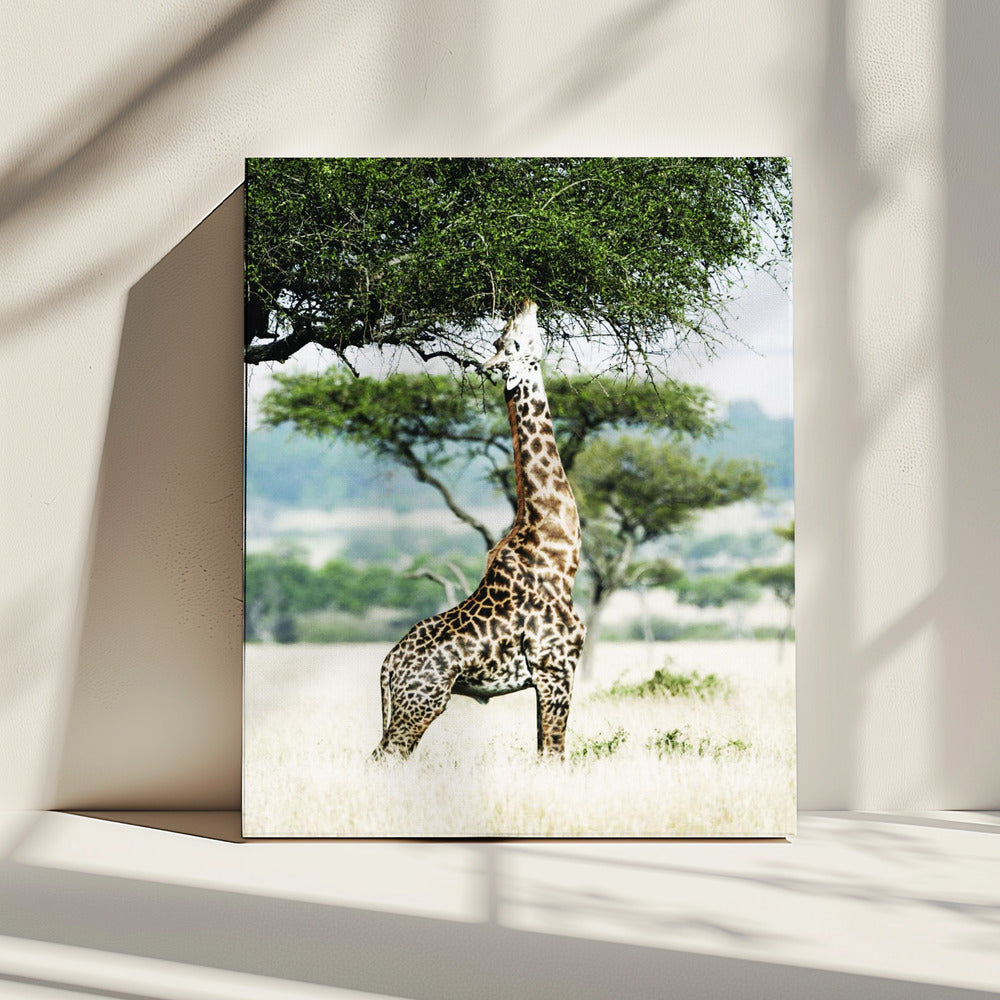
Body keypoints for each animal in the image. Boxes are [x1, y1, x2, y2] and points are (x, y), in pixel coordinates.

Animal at [372, 299, 585, 760]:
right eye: (512, 340)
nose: (525, 301)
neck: (560, 554)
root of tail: (388, 664)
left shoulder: (546, 677)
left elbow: (543, 752)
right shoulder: (556, 666)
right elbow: (555, 755)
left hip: (409, 704)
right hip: (423, 702)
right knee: (385, 756)